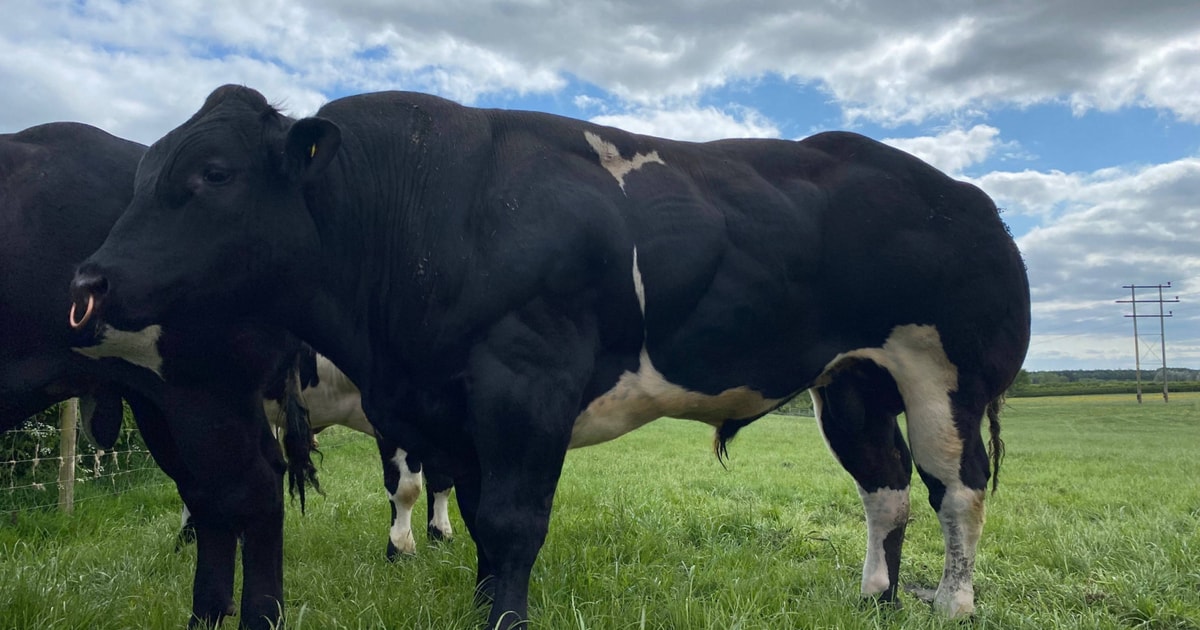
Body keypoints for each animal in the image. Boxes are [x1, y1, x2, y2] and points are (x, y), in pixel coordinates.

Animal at [70, 85, 1031, 629]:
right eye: (144, 171)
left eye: (212, 174)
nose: (89, 281)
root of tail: (964, 194)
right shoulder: (437, 403)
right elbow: (470, 513)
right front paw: (475, 599)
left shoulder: (524, 382)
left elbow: (510, 521)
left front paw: (502, 617)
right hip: (852, 382)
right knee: (886, 485)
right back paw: (875, 596)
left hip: (944, 376)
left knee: (959, 489)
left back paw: (953, 603)